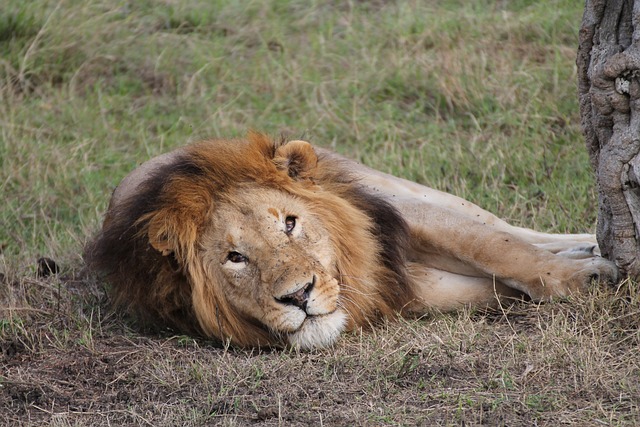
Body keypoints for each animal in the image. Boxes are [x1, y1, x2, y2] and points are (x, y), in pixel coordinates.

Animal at [85, 133, 620, 352]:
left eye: (290, 224)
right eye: (235, 258)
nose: (298, 296)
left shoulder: (399, 217)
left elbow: (498, 247)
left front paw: (584, 277)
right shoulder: (410, 289)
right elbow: (495, 285)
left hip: (398, 187)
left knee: (510, 226)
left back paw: (590, 245)